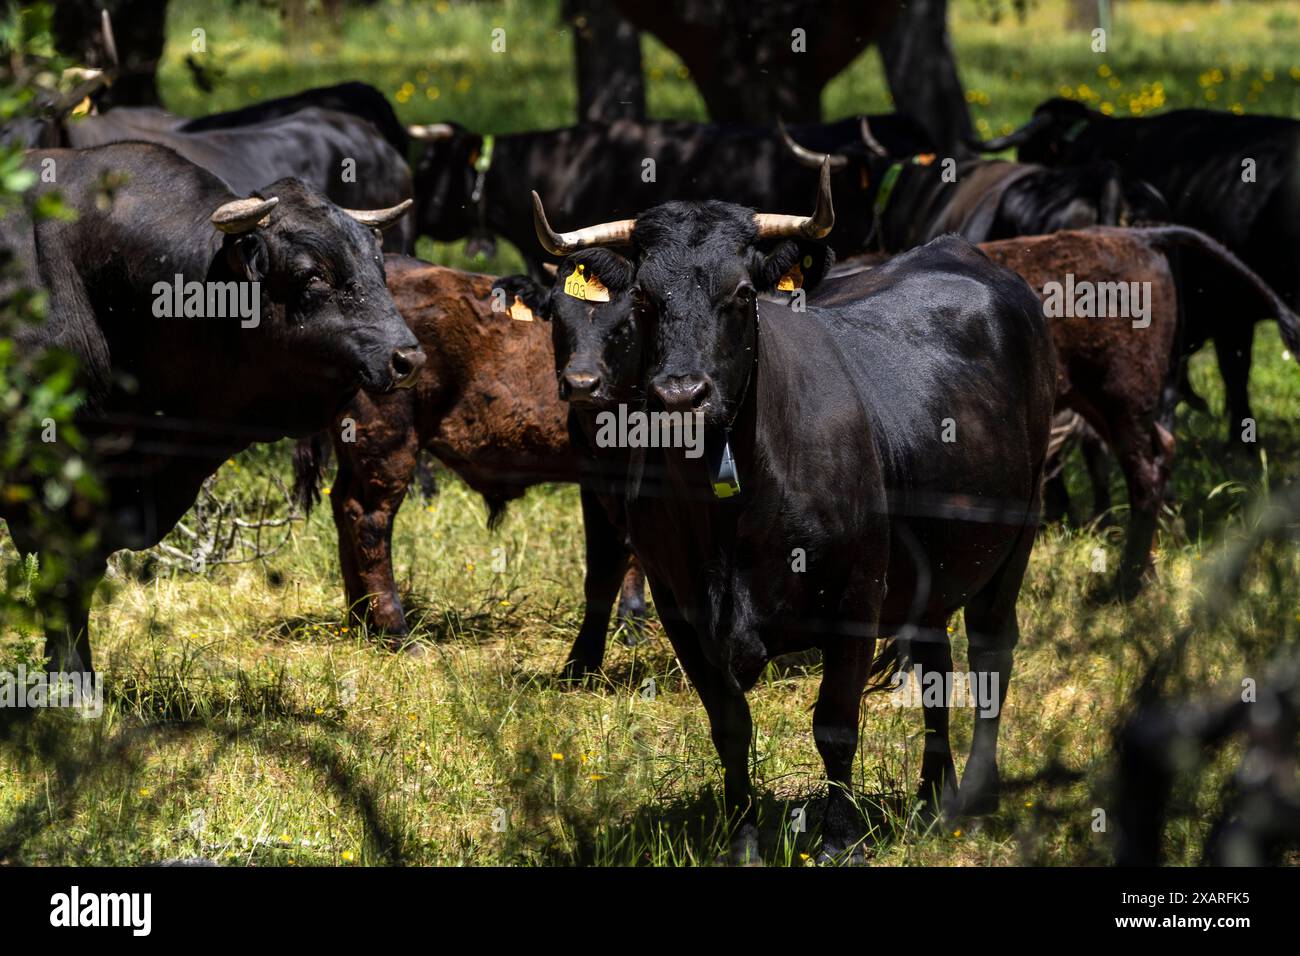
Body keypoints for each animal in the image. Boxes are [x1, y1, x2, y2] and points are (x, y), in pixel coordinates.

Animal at [292, 254, 642, 671]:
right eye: (558, 316)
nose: (580, 384)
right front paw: (629, 625)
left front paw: (632, 625)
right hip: (388, 444)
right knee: (368, 519)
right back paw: (398, 632)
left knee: (342, 507)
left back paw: (360, 620)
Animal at [512, 166, 1060, 868]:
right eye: (643, 301)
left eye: (743, 294)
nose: (681, 395)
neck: (730, 515)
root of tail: (961, 252)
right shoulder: (680, 605)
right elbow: (729, 725)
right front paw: (743, 840)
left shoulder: (856, 595)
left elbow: (835, 724)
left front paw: (839, 840)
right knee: (936, 662)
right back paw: (932, 796)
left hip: (1018, 534)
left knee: (992, 651)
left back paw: (977, 794)